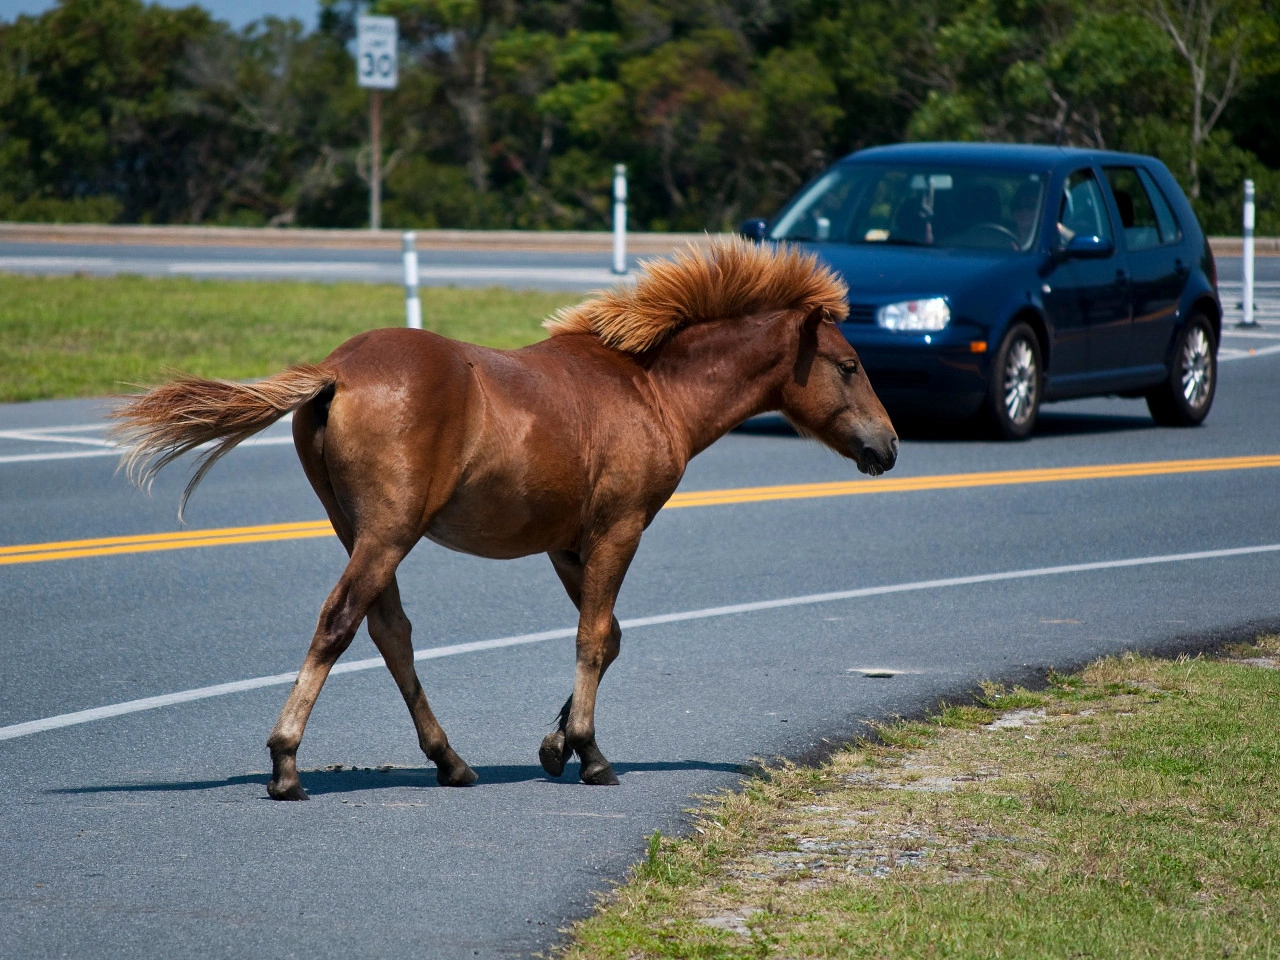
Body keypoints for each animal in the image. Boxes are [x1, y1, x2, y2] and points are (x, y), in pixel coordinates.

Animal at [110, 238, 898, 801]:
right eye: (849, 364)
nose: (887, 447)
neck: (649, 390)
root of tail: (336, 371)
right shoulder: (620, 528)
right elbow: (593, 639)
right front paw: (591, 754)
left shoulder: (567, 544)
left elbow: (609, 636)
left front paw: (556, 746)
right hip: (388, 533)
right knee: (340, 622)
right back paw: (286, 764)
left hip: (358, 529)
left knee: (389, 631)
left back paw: (451, 761)